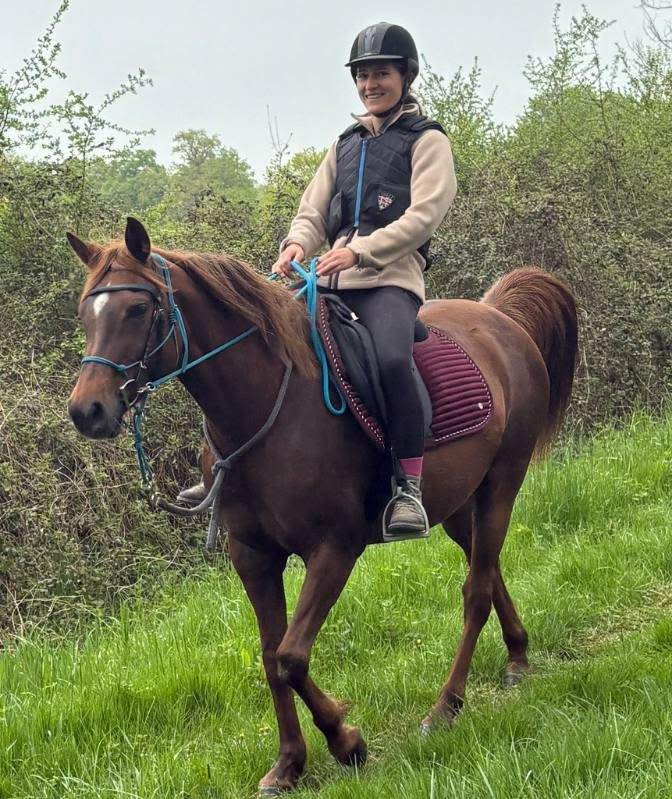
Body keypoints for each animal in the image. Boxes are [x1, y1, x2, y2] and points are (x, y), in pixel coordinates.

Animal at [67, 217, 578, 795]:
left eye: (137, 308)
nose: (87, 411)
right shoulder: (254, 557)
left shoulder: (334, 549)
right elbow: (271, 657)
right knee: (487, 572)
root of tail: (498, 318)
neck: (267, 406)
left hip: (501, 484)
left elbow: (292, 656)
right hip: (457, 506)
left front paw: (345, 741)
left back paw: (445, 707)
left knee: (475, 593)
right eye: (85, 312)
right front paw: (289, 762)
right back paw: (517, 655)